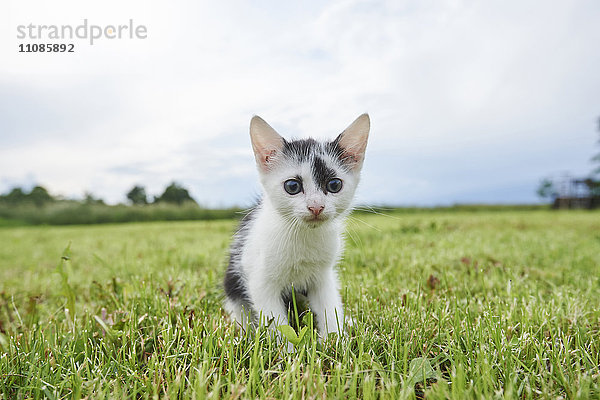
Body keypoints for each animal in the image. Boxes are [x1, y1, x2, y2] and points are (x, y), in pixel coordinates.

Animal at [223, 112, 368, 338]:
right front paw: (286, 347)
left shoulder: (323, 276)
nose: (316, 207)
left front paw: (335, 341)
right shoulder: (260, 282)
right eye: (292, 186)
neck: (303, 235)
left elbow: (329, 307)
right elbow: (276, 323)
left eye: (334, 185)